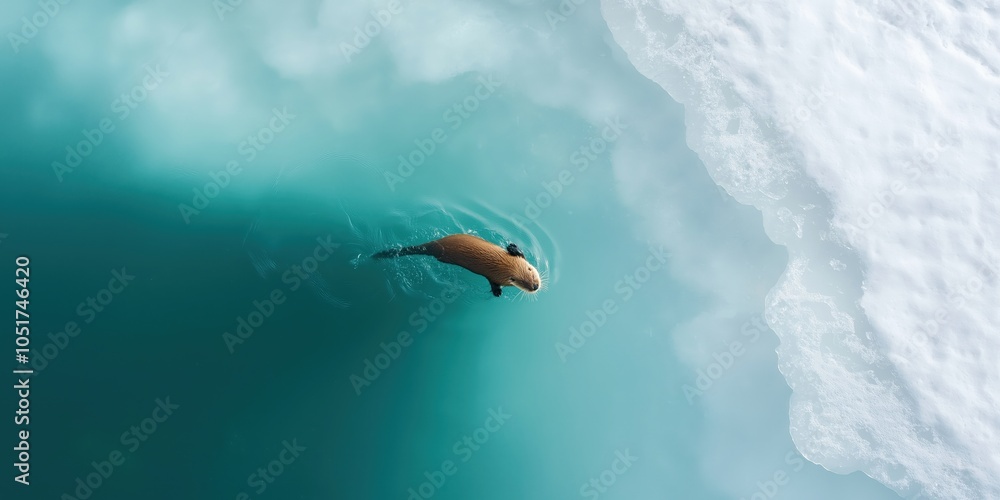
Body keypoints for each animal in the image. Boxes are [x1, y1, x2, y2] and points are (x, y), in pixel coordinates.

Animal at [372, 234, 542, 297]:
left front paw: (513, 247)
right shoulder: (493, 276)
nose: (535, 286)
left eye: (532, 272)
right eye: (522, 282)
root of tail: (433, 245)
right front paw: (497, 292)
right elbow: (493, 284)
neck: (503, 266)